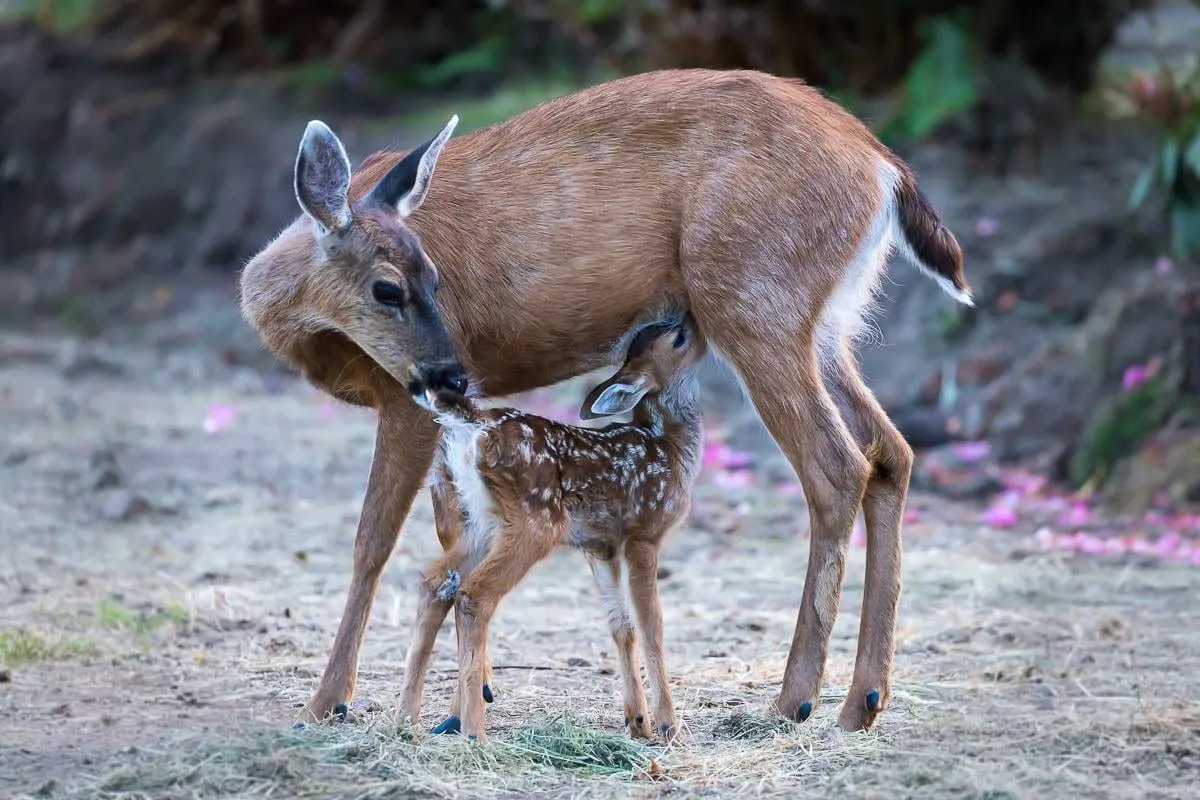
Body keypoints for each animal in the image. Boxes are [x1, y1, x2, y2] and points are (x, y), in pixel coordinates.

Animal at [396, 313, 706, 744]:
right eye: (678, 339)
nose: (689, 317)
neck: (669, 446)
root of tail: (471, 422)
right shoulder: (643, 532)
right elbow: (652, 625)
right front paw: (668, 726)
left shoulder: (601, 545)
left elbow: (621, 624)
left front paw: (638, 721)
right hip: (535, 520)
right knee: (474, 595)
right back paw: (474, 733)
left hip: (477, 522)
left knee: (435, 583)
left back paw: (405, 720)